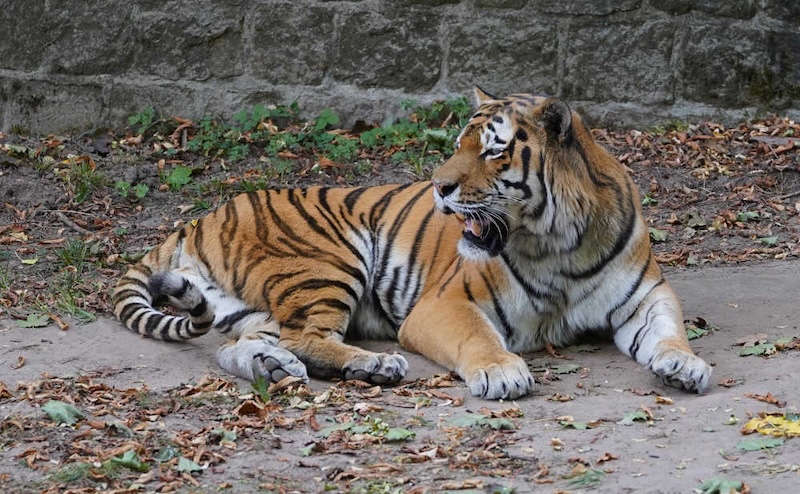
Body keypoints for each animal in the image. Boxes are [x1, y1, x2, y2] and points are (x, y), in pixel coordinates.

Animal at [112, 87, 712, 400]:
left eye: (492, 150)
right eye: (457, 144)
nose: (439, 187)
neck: (560, 245)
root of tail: (199, 217)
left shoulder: (647, 296)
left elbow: (669, 331)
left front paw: (684, 365)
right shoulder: (444, 305)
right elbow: (479, 338)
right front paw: (502, 371)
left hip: (247, 308)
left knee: (241, 346)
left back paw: (273, 368)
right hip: (330, 259)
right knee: (307, 336)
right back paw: (375, 365)